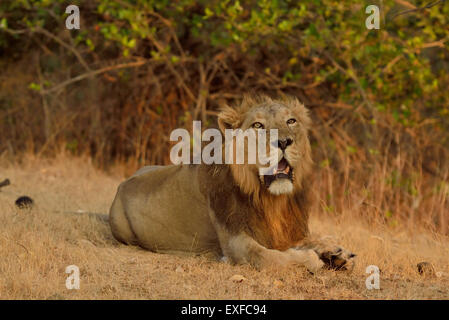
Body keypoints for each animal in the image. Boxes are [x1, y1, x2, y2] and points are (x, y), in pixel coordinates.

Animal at [108, 94, 354, 272]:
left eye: (291, 121)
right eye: (258, 125)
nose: (284, 141)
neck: (269, 199)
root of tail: (121, 186)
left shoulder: (287, 232)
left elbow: (314, 238)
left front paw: (337, 252)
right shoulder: (236, 243)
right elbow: (271, 257)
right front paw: (312, 259)